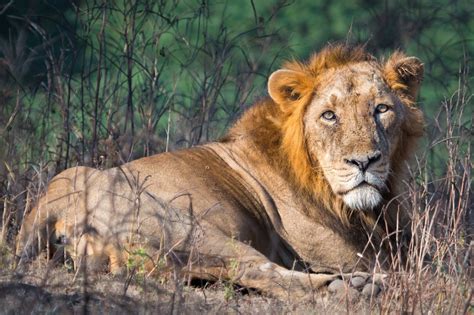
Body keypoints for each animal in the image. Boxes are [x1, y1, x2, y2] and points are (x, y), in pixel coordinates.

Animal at [14, 44, 424, 298]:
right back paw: (351, 287)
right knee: (258, 271)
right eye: (329, 116)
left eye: (381, 109)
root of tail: (52, 207)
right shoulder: (347, 254)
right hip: (195, 230)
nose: (364, 162)